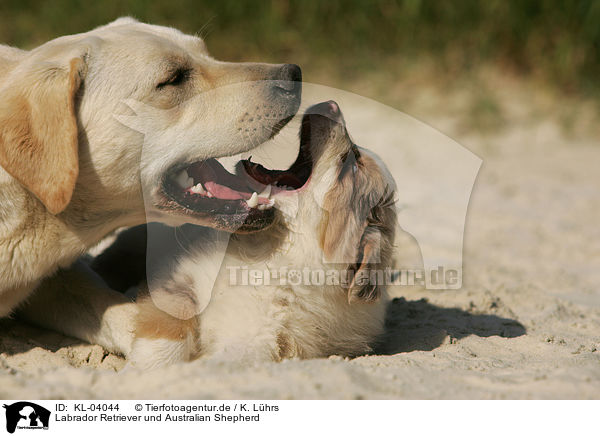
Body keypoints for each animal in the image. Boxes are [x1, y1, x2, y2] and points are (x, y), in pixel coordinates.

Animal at [129, 102, 396, 368]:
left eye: (350, 166)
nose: (330, 104)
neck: (270, 248)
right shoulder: (180, 278)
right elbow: (170, 325)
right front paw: (148, 367)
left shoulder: (259, 343)